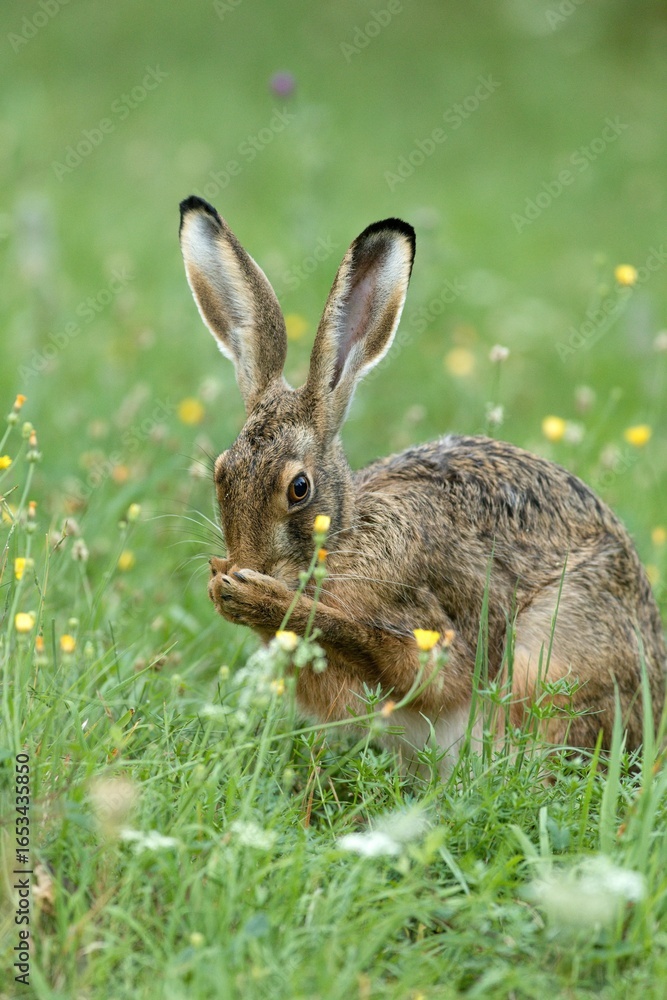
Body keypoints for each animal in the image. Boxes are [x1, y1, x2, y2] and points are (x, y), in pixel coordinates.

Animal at [178, 194, 666, 771]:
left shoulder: (430, 616)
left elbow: (397, 655)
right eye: (221, 473)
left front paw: (256, 597)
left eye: (299, 488)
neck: (346, 536)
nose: (246, 565)